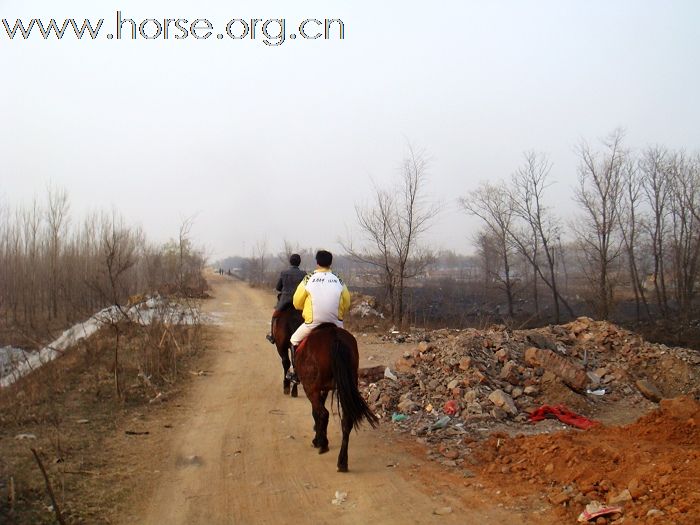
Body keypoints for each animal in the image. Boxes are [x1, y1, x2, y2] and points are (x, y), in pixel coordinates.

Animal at [296, 322, 380, 472]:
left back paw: (323, 445)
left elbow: (316, 413)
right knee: (346, 420)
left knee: (323, 413)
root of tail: (335, 338)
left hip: (311, 388)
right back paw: (342, 462)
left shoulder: (315, 389)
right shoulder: (324, 389)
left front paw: (317, 440)